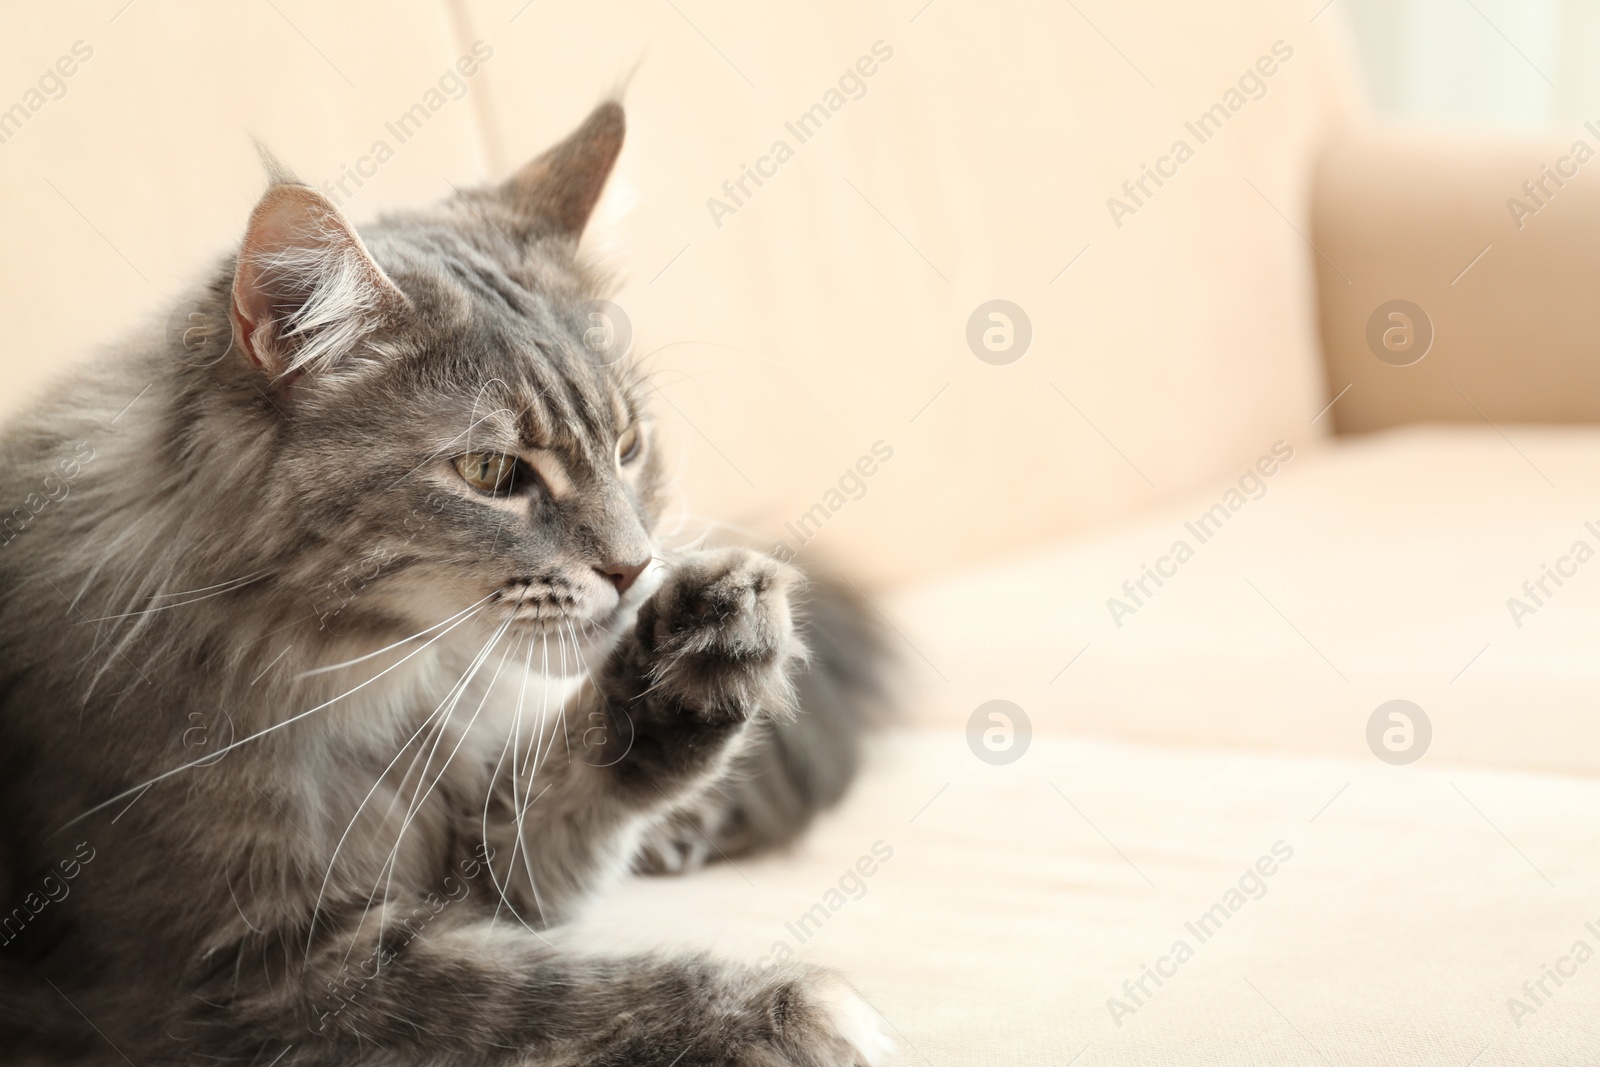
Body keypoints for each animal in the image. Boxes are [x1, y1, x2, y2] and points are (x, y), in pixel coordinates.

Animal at [0, 102, 889, 1067]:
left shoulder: (481, 853)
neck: (373, 691)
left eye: (628, 446)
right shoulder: (244, 981)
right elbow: (538, 997)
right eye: (491, 472)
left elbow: (574, 784)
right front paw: (789, 1012)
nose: (635, 566)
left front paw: (706, 648)